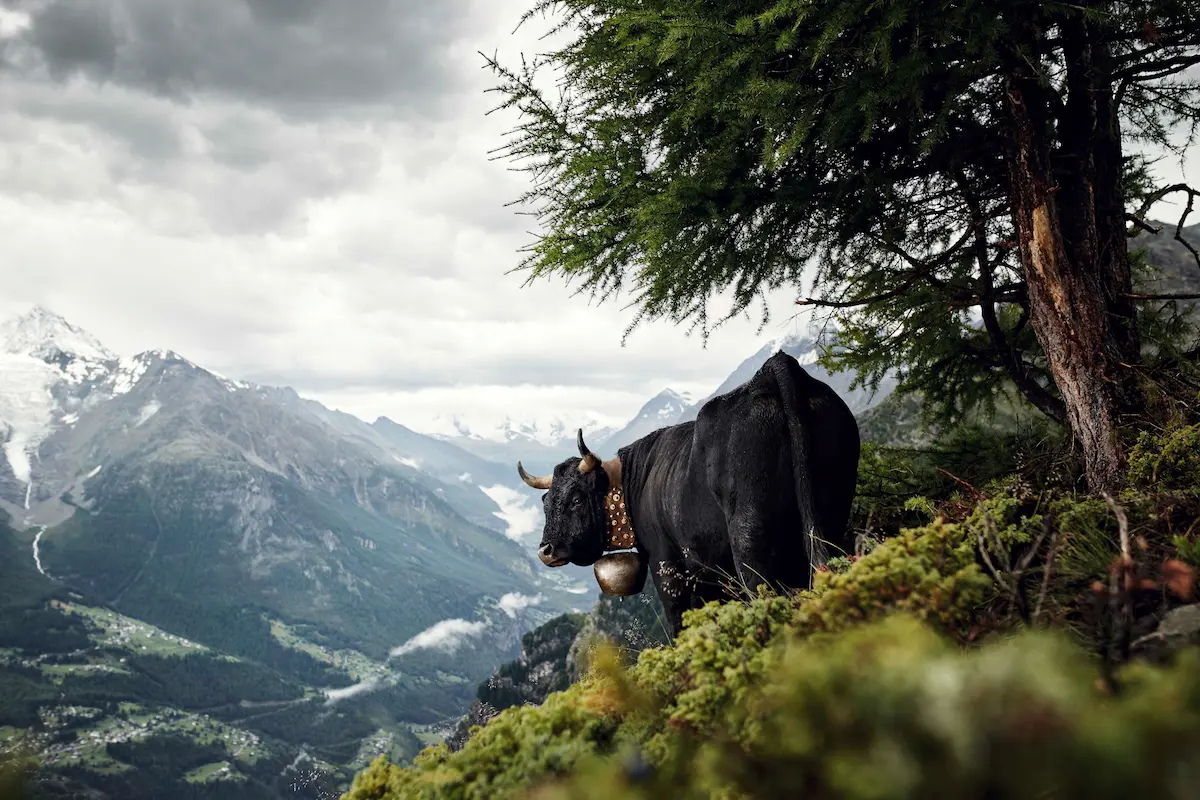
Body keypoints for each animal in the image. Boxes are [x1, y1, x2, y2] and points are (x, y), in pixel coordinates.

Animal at [516, 352, 864, 633]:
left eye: (576, 498)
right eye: (546, 501)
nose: (545, 550)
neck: (635, 480)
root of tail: (770, 371)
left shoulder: (667, 566)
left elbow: (679, 621)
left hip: (750, 538)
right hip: (831, 509)